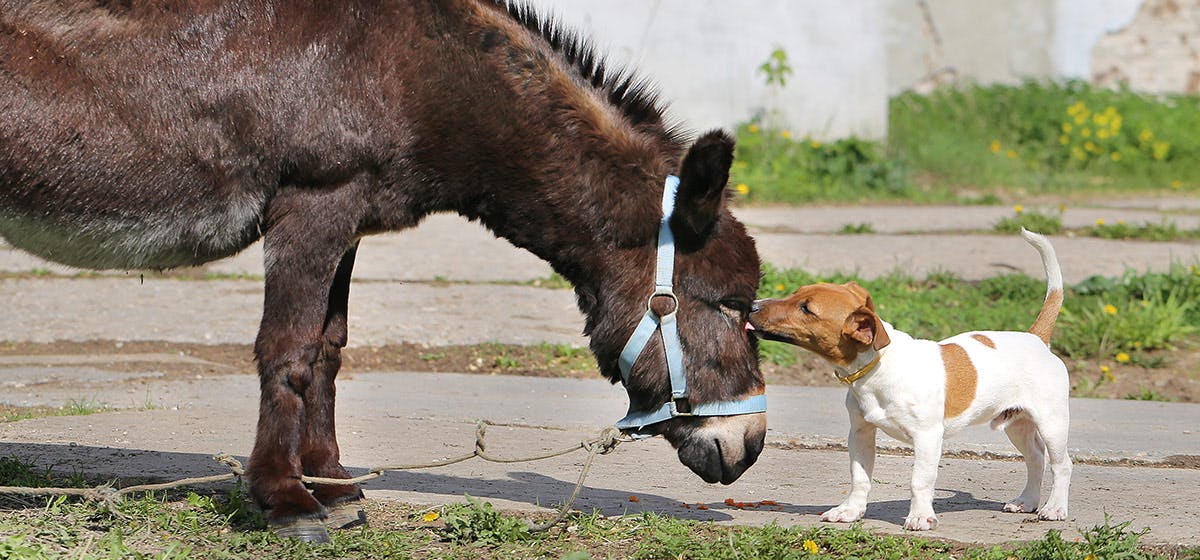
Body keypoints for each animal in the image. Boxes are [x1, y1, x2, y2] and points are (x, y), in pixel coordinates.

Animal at [748, 227, 1070, 530]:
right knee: (1035, 458)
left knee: (1060, 464)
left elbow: (920, 480)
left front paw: (920, 518)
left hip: (1051, 422)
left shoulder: (927, 437)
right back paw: (1027, 501)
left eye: (806, 308)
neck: (879, 367)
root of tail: (1036, 338)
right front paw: (850, 511)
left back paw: (1054, 508)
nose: (751, 305)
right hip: (1017, 424)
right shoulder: (860, 432)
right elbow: (859, 477)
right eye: (795, 293)